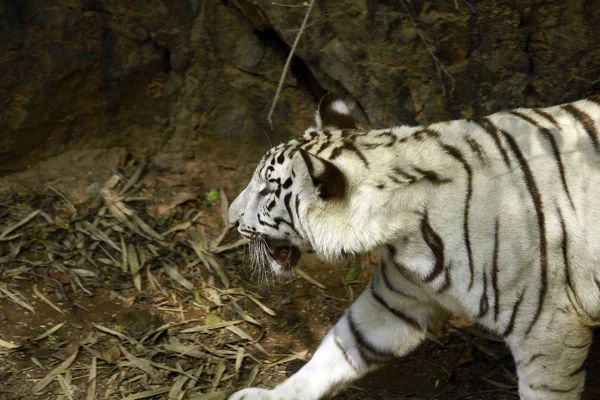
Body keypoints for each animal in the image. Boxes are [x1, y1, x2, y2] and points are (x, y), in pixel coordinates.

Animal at [225, 93, 600, 400]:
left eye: (267, 191)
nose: (230, 217)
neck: (403, 232)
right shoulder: (395, 299)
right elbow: (341, 348)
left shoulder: (548, 329)